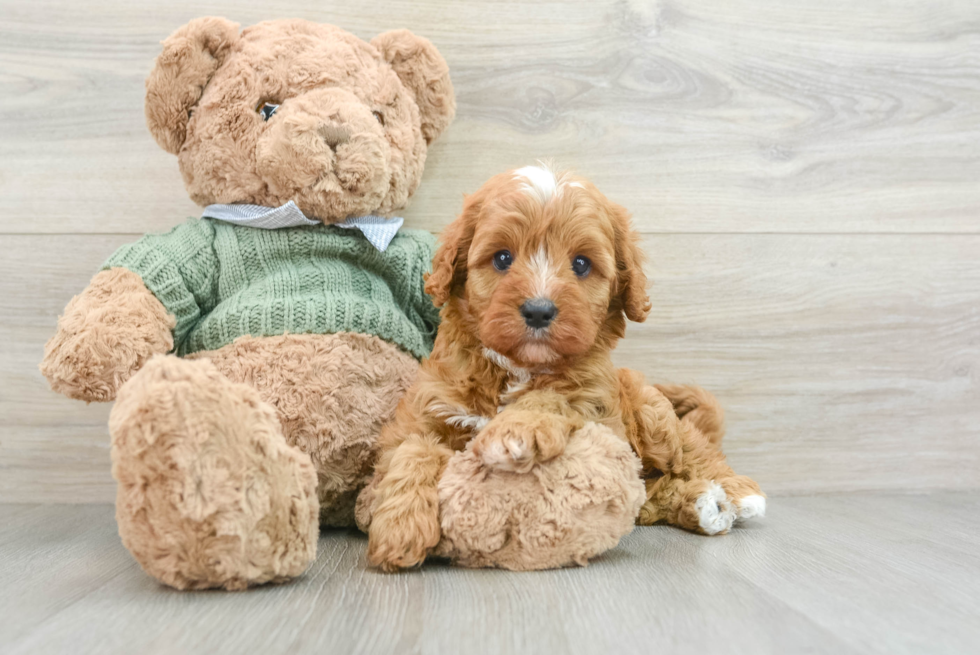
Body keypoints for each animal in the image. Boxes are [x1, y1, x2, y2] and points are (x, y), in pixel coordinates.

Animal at [362, 165, 764, 576]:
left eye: (581, 264)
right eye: (502, 258)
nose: (539, 310)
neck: (518, 368)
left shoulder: (597, 403)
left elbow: (553, 397)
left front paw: (515, 430)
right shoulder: (426, 410)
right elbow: (411, 451)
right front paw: (399, 526)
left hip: (653, 418)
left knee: (689, 452)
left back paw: (736, 493)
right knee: (650, 494)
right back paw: (703, 504)